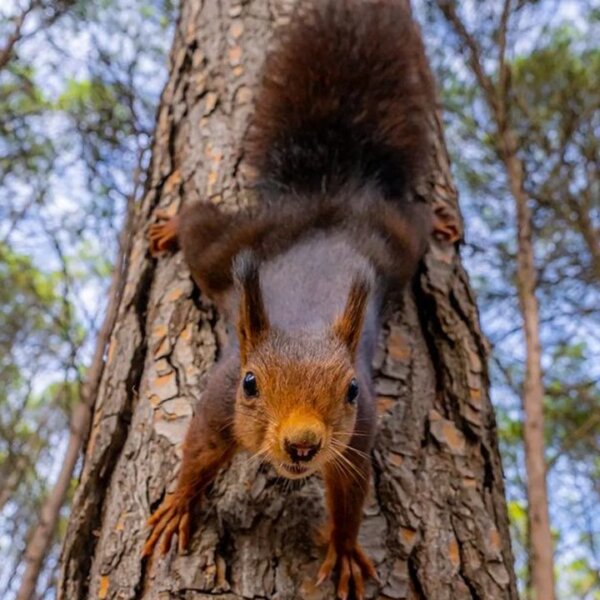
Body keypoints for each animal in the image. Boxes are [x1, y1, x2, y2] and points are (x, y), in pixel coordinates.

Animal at [144, 2, 436, 596]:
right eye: (251, 383)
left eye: (351, 390)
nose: (303, 445)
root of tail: (325, 196)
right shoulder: (218, 400)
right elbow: (198, 453)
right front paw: (179, 503)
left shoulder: (357, 434)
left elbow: (350, 495)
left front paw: (343, 548)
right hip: (228, 251)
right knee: (201, 228)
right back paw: (173, 225)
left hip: (397, 245)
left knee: (415, 223)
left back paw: (441, 220)